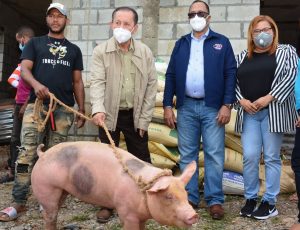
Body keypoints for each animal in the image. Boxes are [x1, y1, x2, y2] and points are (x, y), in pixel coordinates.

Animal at [31, 141, 199, 229]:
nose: (193, 214)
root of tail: (43, 154)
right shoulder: (126, 212)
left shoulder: (142, 217)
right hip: (46, 187)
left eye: (185, 195)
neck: (144, 192)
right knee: (49, 214)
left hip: (62, 191)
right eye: (168, 196)